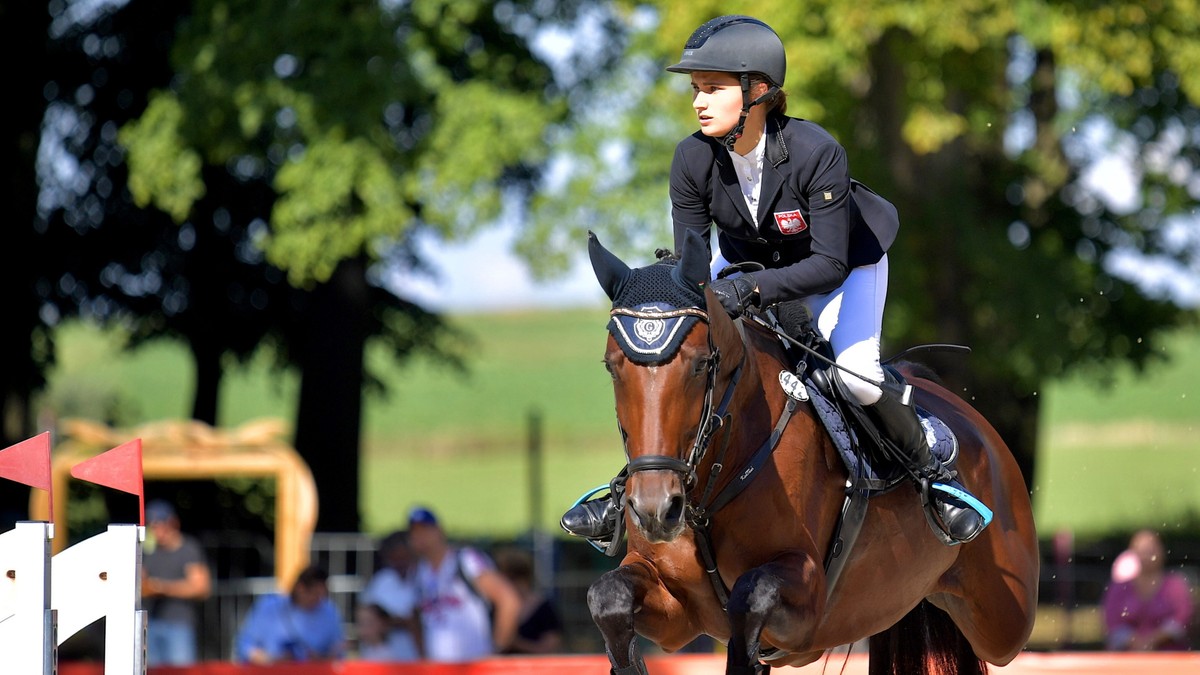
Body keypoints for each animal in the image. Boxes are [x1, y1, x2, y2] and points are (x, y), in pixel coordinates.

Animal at [585, 230, 1036, 672]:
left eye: (699, 365)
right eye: (611, 366)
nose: (655, 510)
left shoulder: (806, 610)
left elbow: (751, 596)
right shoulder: (676, 611)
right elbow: (607, 597)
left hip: (1004, 621)